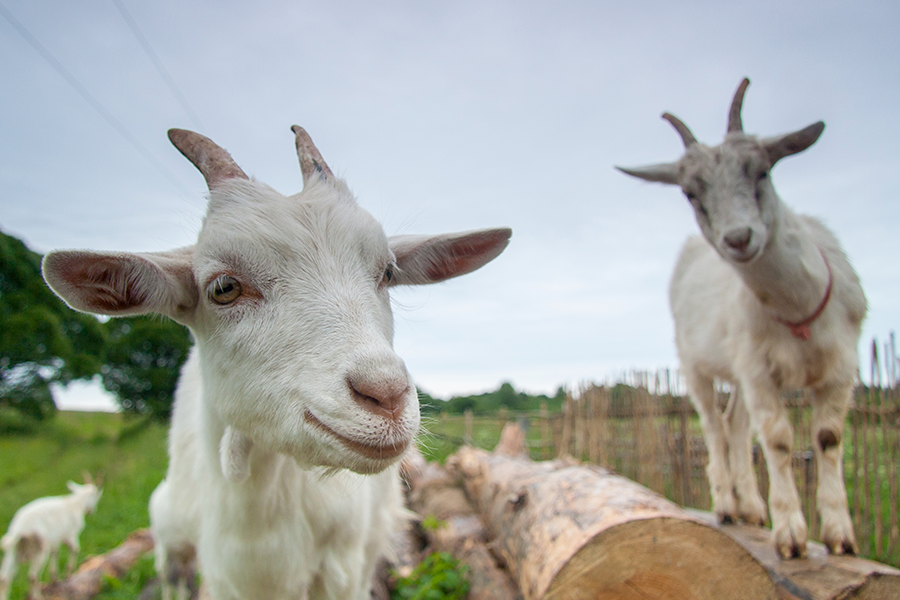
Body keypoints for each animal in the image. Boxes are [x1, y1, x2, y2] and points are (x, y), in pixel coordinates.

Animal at [41, 125, 511, 599]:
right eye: (224, 287)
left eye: (388, 273)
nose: (387, 397)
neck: (254, 537)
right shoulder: (183, 559)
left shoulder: (341, 569)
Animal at [617, 79, 866, 559]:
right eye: (690, 192)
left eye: (762, 172)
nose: (737, 239)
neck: (795, 307)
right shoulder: (757, 369)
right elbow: (778, 439)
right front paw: (790, 535)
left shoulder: (841, 367)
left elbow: (827, 438)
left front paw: (839, 535)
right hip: (698, 365)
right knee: (716, 426)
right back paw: (728, 505)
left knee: (736, 425)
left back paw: (751, 507)